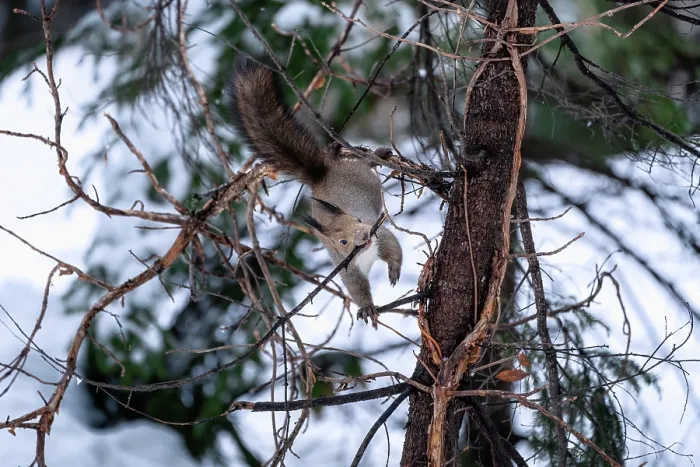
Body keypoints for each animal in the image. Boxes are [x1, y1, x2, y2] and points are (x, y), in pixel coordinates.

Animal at [227, 56, 403, 326]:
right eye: (342, 241)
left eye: (358, 219)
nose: (364, 235)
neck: (365, 252)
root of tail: (321, 174)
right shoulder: (347, 268)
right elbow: (357, 288)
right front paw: (367, 308)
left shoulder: (378, 232)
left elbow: (392, 245)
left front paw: (393, 267)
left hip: (358, 172)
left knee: (363, 161)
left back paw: (378, 154)